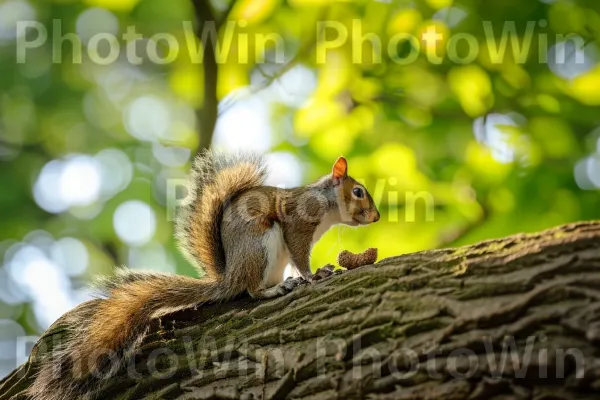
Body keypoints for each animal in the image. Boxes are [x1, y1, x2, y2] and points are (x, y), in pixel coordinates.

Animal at [25, 151, 380, 400]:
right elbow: (300, 258)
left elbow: (297, 261)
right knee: (250, 289)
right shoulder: (297, 225)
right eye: (359, 192)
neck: (327, 207)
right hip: (260, 245)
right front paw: (312, 276)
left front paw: (316, 272)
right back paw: (271, 290)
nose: (376, 217)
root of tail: (230, 275)